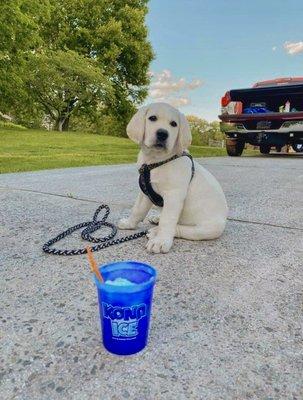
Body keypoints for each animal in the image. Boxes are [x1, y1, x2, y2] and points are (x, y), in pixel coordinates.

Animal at [119, 103, 228, 253]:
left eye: (174, 124)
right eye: (152, 118)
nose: (162, 133)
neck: (155, 161)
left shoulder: (174, 196)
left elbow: (167, 220)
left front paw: (160, 241)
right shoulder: (145, 192)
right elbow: (137, 210)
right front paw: (129, 224)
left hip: (210, 228)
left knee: (182, 229)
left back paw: (156, 231)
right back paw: (156, 219)